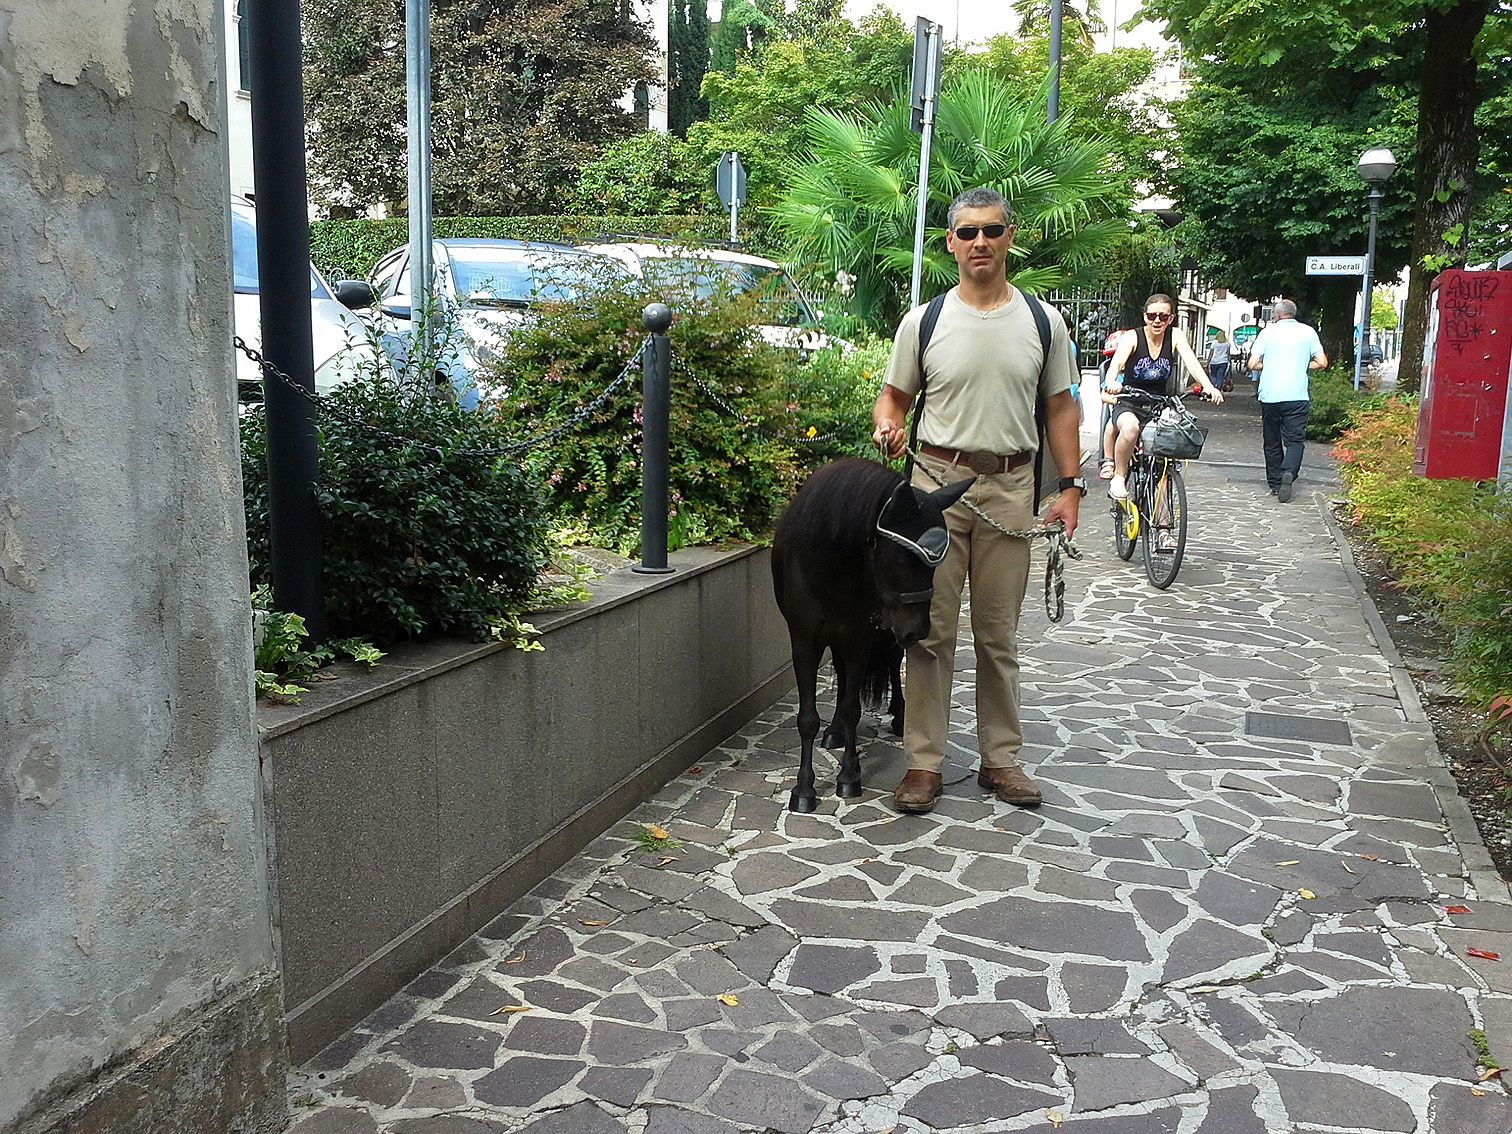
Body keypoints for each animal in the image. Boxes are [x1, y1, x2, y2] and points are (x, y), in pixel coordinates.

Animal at [774, 456, 973, 810]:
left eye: (934, 565)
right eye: (903, 559)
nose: (918, 630)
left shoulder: (859, 638)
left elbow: (853, 708)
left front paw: (849, 775)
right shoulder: (805, 641)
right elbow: (808, 718)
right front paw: (804, 788)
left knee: (891, 665)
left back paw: (899, 713)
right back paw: (835, 731)